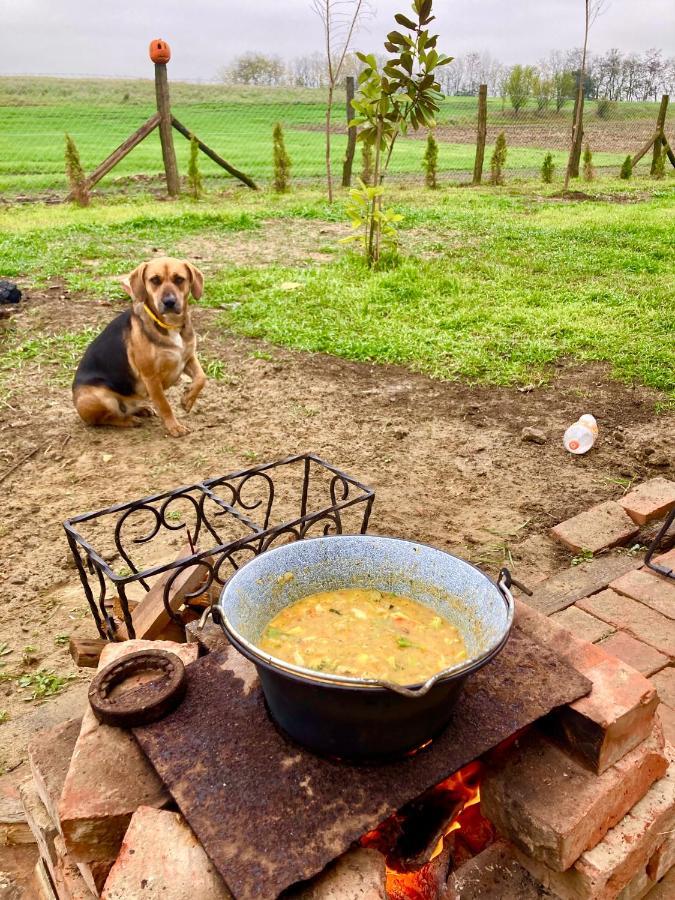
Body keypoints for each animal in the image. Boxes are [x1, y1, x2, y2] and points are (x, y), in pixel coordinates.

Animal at [72, 255, 207, 438]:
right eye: (155, 280)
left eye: (179, 279)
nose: (169, 302)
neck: (170, 325)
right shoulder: (151, 377)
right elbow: (164, 404)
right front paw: (174, 427)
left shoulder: (187, 358)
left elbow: (201, 378)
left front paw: (187, 400)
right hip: (99, 397)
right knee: (104, 418)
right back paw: (129, 420)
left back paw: (141, 409)